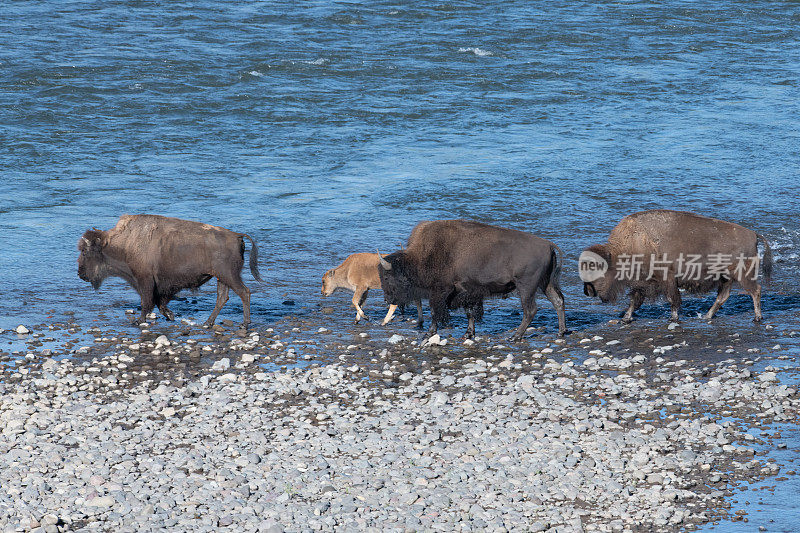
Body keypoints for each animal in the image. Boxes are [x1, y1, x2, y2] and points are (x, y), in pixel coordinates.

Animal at [77, 214, 260, 326]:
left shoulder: (145, 280)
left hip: (229, 275)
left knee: (244, 292)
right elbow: (159, 302)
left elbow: (146, 302)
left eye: (85, 252)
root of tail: (237, 235)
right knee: (222, 298)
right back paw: (208, 323)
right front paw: (170, 315)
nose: (80, 273)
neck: (125, 243)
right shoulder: (160, 285)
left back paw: (245, 323)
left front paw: (139, 321)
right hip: (222, 278)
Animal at [376, 219, 568, 340]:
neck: (422, 256)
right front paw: (468, 334)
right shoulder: (467, 292)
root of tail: (548, 244)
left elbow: (435, 312)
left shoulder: (440, 292)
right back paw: (560, 332)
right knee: (558, 301)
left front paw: (429, 333)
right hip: (545, 283)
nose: (387, 299)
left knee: (530, 310)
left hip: (526, 287)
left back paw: (515, 336)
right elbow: (470, 313)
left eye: (386, 276)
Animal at [580, 210, 776, 322]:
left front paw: (673, 318)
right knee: (723, 296)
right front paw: (626, 319)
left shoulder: (666, 279)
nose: (587, 291)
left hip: (742, 275)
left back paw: (757, 317)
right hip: (725, 278)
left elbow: (671, 299)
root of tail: (754, 234)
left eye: (595, 269)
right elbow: (635, 301)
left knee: (755, 291)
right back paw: (707, 316)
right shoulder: (643, 283)